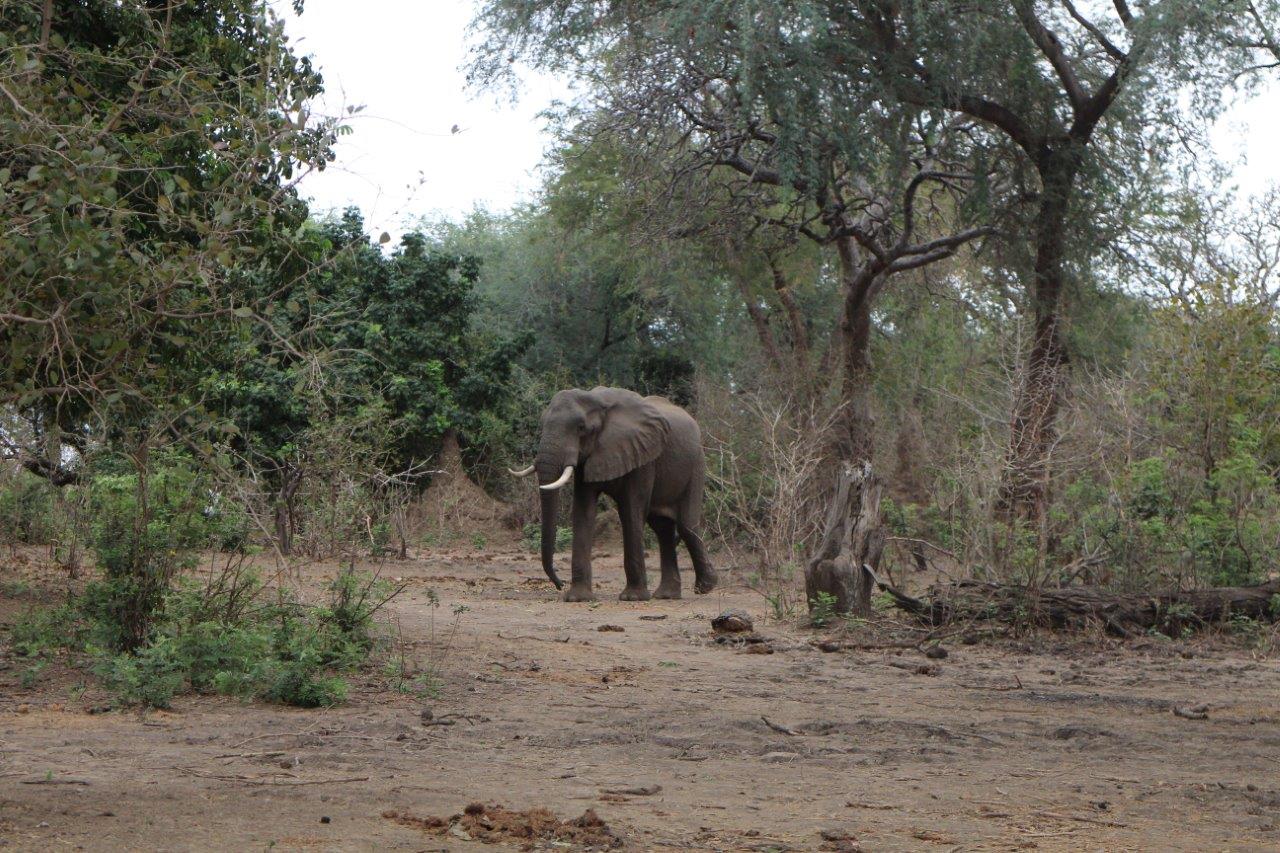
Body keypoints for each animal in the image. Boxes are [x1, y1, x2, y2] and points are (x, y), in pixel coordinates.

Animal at [509, 386, 717, 602]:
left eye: (581, 428)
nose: (560, 584)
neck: (598, 401)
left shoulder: (643, 456)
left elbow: (630, 511)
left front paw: (633, 598)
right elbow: (583, 511)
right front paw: (578, 598)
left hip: (696, 464)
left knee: (686, 525)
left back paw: (705, 587)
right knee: (662, 528)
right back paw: (667, 595)